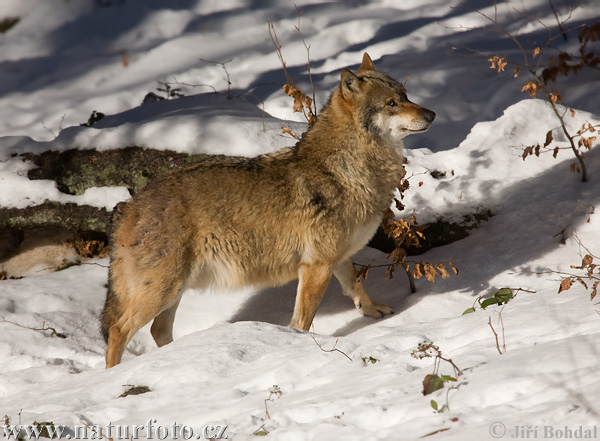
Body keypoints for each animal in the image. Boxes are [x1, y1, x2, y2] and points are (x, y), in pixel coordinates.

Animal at [101, 52, 434, 368]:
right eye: (391, 103)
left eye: (405, 95)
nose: (432, 114)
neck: (346, 170)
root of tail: (130, 205)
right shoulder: (315, 266)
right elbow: (303, 319)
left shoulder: (335, 258)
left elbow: (356, 286)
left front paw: (373, 310)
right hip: (162, 291)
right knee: (118, 330)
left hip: (174, 292)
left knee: (158, 330)